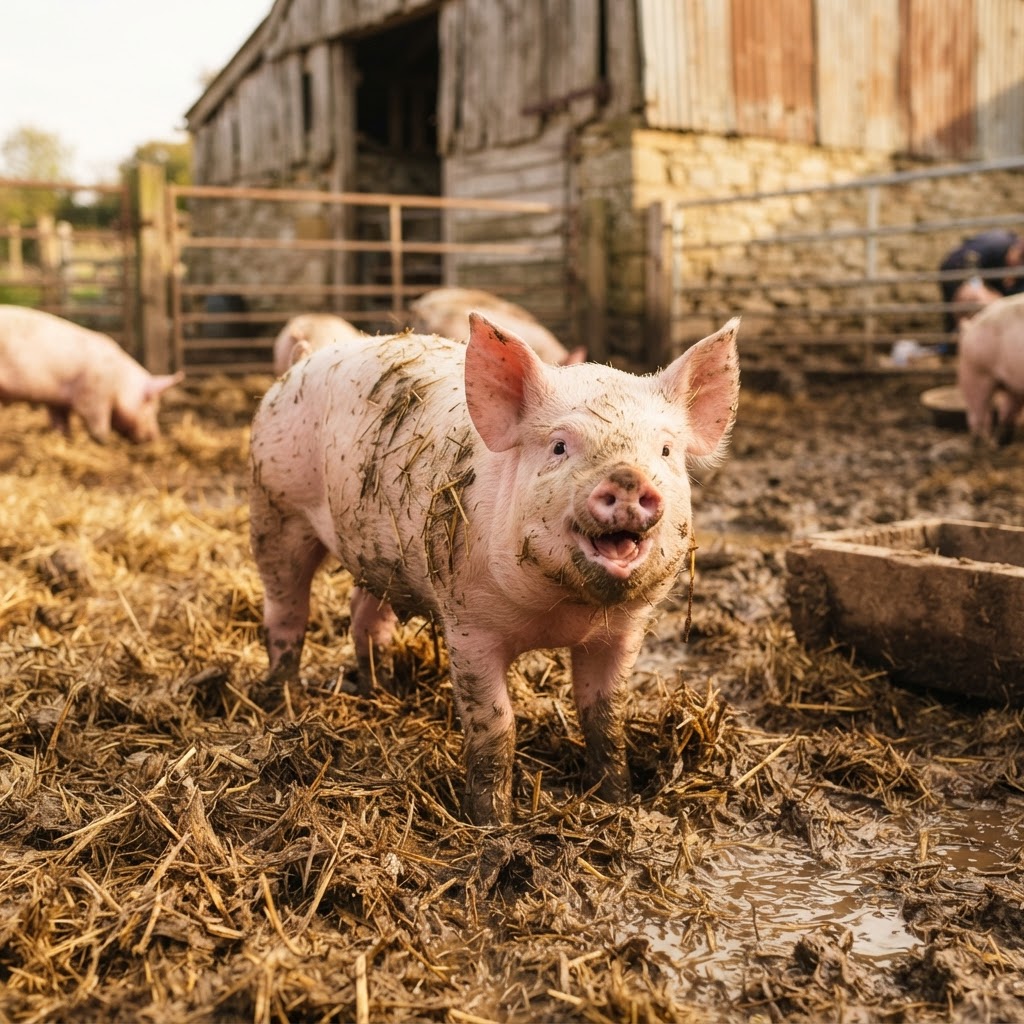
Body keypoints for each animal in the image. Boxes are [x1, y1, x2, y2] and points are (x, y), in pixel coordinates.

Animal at [0, 304, 182, 442]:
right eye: (150, 403)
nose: (155, 436)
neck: (119, 381)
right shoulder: (93, 394)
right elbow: (96, 420)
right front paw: (104, 440)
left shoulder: (57, 401)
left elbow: (59, 419)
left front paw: (64, 437)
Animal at [249, 313, 740, 825]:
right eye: (559, 446)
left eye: (664, 451)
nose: (627, 477)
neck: (562, 613)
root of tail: (304, 358)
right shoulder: (469, 623)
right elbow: (495, 723)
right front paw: (491, 821)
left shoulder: (623, 631)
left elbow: (605, 715)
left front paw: (617, 798)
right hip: (274, 507)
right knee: (286, 611)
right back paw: (282, 695)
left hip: (382, 554)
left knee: (365, 613)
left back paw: (377, 688)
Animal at [957, 292, 1024, 445]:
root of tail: (970, 326)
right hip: (976, 373)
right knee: (977, 415)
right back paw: (982, 444)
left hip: (1009, 383)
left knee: (1005, 411)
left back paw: (998, 442)